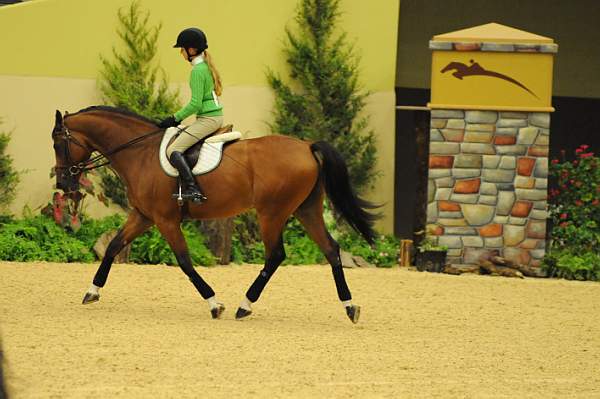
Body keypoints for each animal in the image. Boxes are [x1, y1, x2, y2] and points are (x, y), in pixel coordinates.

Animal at [51, 107, 380, 324]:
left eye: (58, 143)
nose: (63, 183)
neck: (140, 152)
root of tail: (307, 146)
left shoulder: (165, 220)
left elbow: (184, 261)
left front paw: (214, 303)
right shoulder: (143, 216)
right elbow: (113, 246)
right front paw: (92, 291)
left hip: (271, 213)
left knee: (275, 255)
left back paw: (244, 306)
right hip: (306, 209)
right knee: (331, 249)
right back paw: (350, 306)